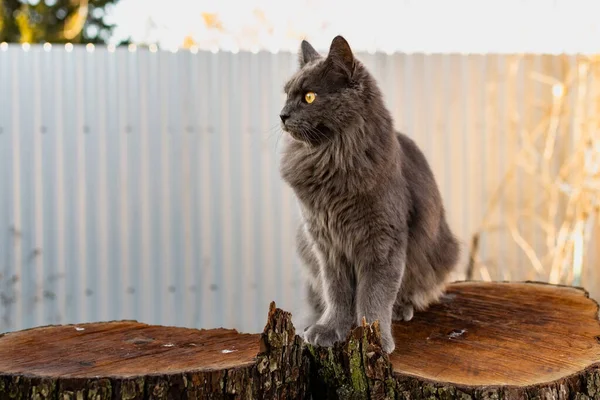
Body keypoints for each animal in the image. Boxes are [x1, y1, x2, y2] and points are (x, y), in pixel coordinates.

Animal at [278, 36, 458, 352]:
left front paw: (374, 337)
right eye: (287, 94)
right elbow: (337, 292)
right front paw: (329, 329)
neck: (331, 159)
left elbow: (374, 294)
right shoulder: (326, 243)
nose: (282, 115)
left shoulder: (382, 242)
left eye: (309, 97)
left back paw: (401, 310)